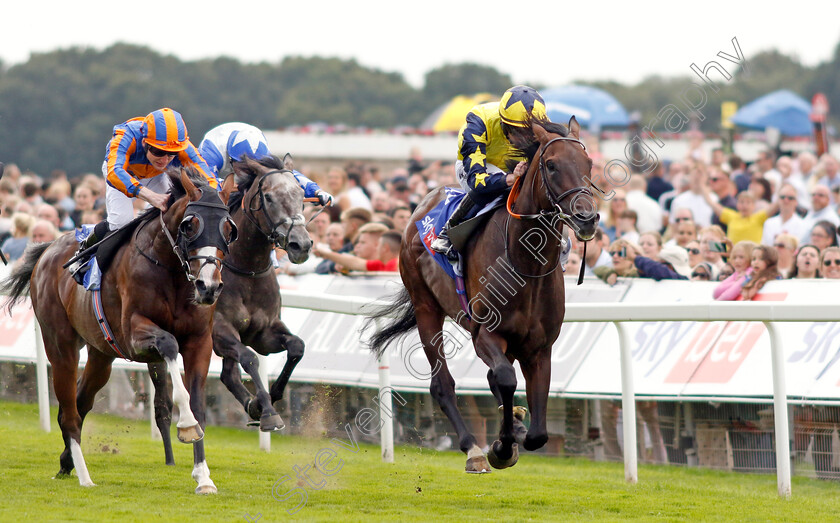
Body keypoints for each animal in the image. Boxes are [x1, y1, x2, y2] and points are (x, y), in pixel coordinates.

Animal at [1, 170, 236, 494]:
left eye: (229, 228)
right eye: (190, 225)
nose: (209, 286)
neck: (172, 272)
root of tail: (47, 251)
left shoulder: (199, 341)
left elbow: (199, 403)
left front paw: (203, 477)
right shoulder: (134, 335)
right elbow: (169, 345)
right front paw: (186, 424)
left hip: (101, 355)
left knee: (80, 403)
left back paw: (66, 462)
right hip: (60, 345)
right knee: (69, 412)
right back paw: (84, 476)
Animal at [148, 157, 312, 466]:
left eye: (300, 195)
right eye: (269, 197)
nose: (302, 244)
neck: (246, 269)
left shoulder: (264, 332)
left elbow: (296, 346)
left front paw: (265, 399)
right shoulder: (220, 332)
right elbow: (249, 358)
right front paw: (267, 412)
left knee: (227, 375)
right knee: (162, 400)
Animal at [368, 118, 596, 474]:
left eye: (589, 164)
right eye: (551, 164)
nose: (587, 218)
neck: (525, 263)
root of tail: (424, 202)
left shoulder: (539, 347)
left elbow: (539, 432)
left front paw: (517, 429)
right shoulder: (486, 333)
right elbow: (504, 378)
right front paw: (500, 447)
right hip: (426, 306)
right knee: (443, 384)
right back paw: (472, 448)